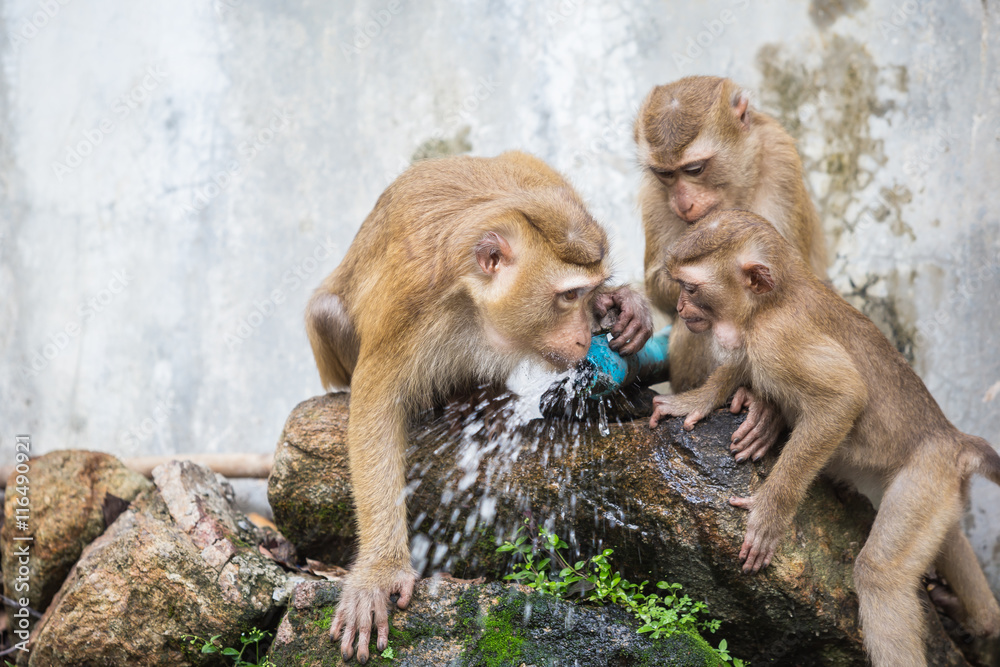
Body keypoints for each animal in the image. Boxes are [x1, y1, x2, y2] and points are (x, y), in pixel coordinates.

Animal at [306, 150, 651, 663]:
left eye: (588, 292)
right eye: (568, 295)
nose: (584, 334)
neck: (475, 302)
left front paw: (625, 304)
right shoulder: (410, 303)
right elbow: (375, 409)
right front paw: (379, 571)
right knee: (328, 313)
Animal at [635, 76, 829, 462]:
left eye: (695, 169)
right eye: (665, 174)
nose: (684, 203)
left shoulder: (780, 159)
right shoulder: (653, 190)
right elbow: (662, 286)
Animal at [647, 209, 1000, 667]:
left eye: (689, 287)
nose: (679, 307)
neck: (770, 304)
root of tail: (953, 439)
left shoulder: (777, 338)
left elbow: (843, 399)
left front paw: (771, 512)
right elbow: (739, 362)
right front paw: (698, 399)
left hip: (926, 476)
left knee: (880, 575)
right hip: (943, 488)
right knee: (951, 537)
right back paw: (981, 617)